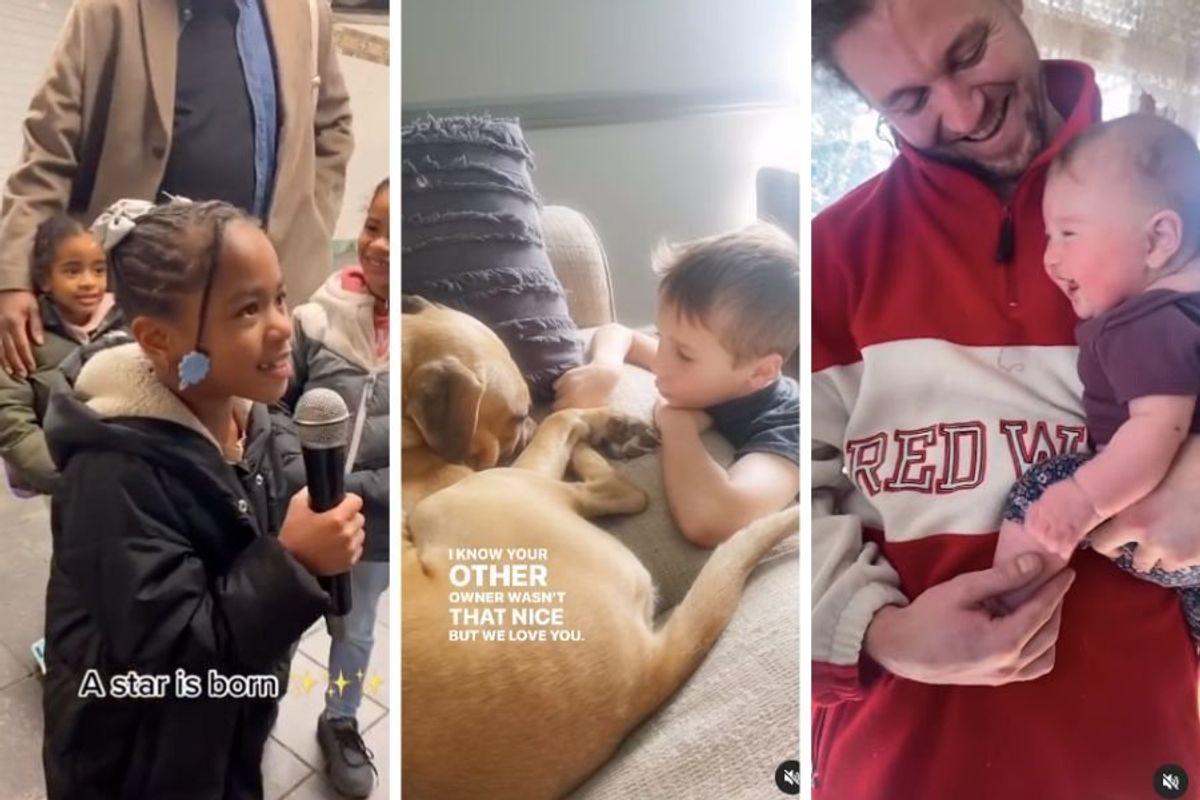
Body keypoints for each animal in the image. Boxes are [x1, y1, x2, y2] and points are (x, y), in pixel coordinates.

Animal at [400, 297, 796, 796]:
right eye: (516, 416)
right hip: (472, 495)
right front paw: (601, 423)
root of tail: (644, 672)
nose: (527, 423)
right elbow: (563, 418)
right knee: (621, 488)